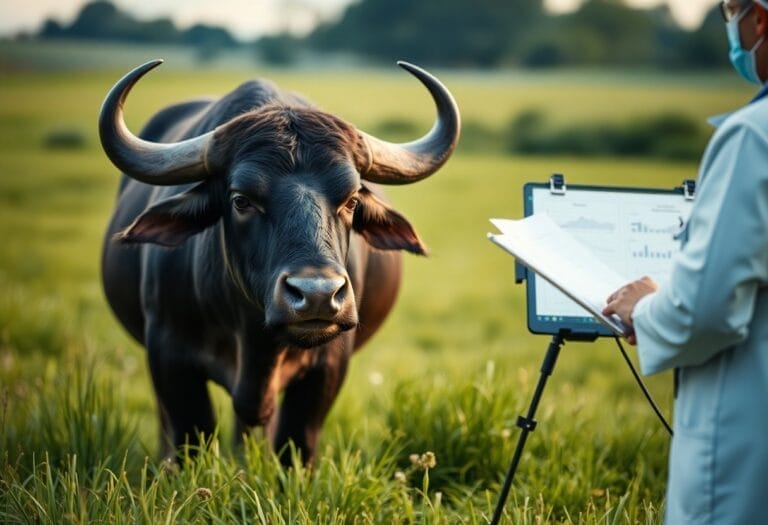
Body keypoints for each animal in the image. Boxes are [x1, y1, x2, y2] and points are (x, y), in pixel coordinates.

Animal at [99, 60, 460, 464]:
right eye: (241, 200)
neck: (255, 339)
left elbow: (296, 442)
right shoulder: (168, 353)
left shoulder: (328, 365)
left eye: (351, 200)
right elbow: (191, 435)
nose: (318, 295)